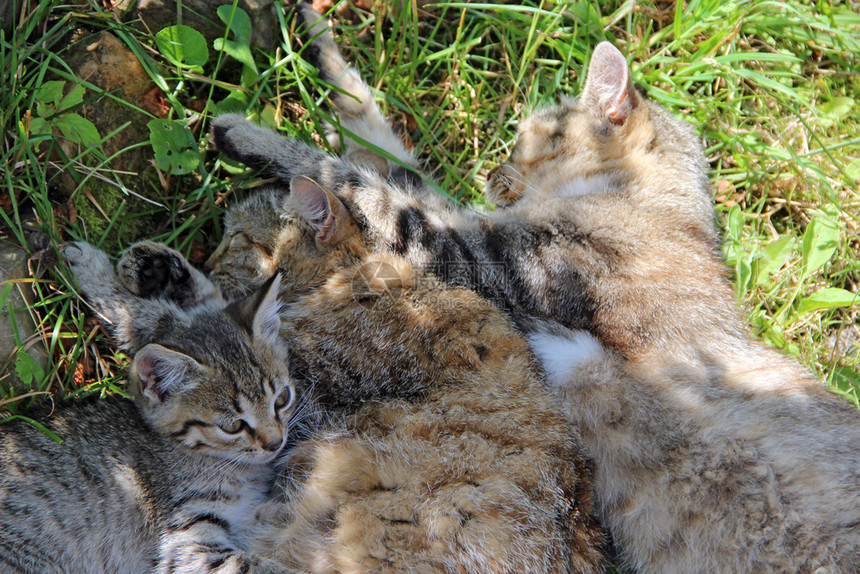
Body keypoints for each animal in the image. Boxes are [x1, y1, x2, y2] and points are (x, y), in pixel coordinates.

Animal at [208, 12, 860, 572]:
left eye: (527, 138)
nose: (491, 175)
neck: (654, 204)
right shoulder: (468, 229)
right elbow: (381, 146)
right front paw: (318, 40)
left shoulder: (477, 255)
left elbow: (355, 178)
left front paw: (245, 133)